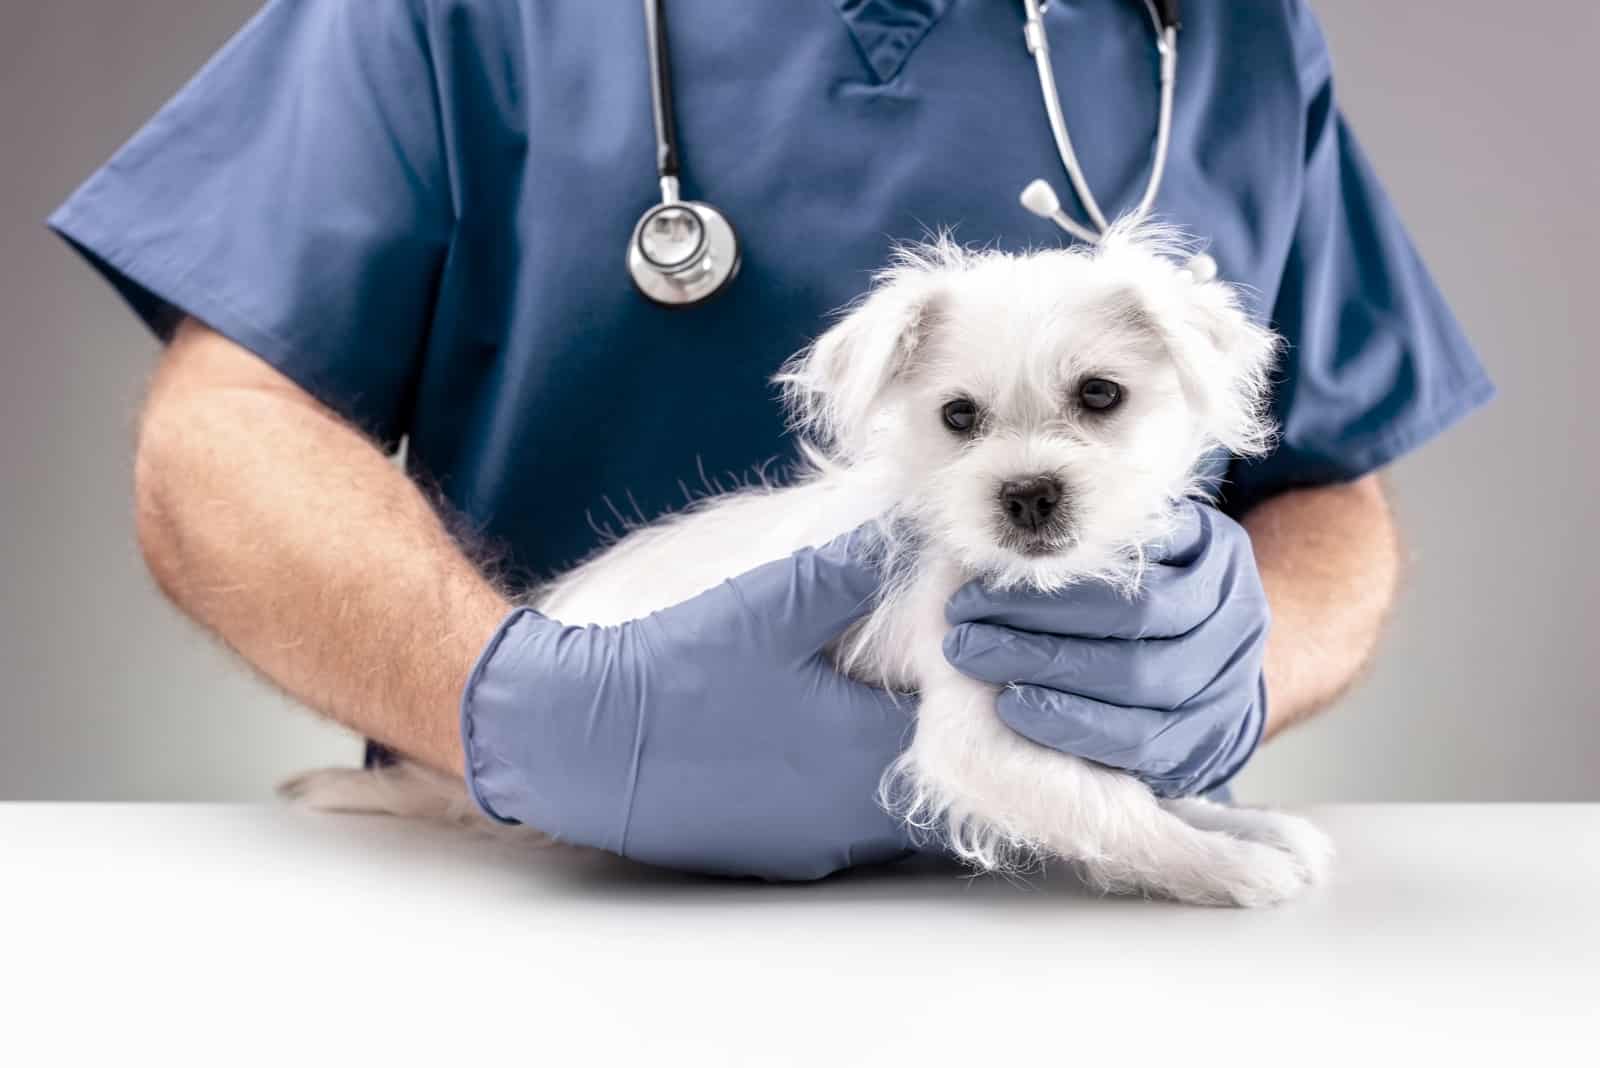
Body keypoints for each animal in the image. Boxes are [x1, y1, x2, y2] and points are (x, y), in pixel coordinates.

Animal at [284, 227, 1324, 908]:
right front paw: (1232, 868)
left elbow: (1144, 786)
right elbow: (1110, 806)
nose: (1028, 494)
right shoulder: (972, 740)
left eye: (1100, 396)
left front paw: (1247, 826)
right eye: (958, 417)